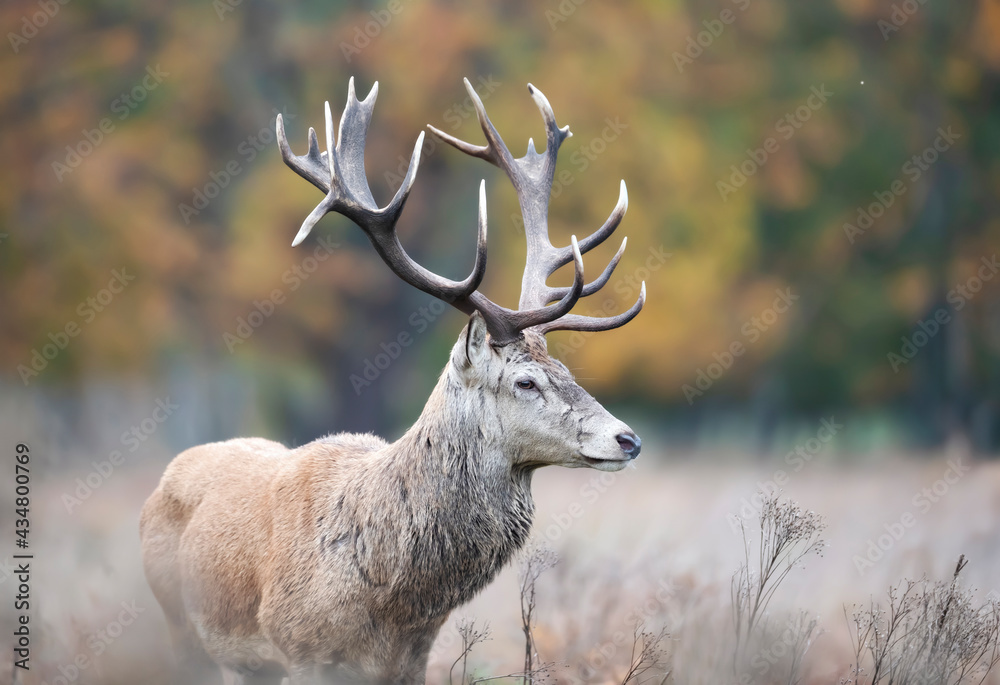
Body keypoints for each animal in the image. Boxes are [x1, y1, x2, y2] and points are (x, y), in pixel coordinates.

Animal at [140, 77, 646, 685]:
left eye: (567, 371)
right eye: (526, 382)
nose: (627, 438)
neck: (391, 603)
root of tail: (161, 483)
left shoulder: (412, 660)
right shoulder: (300, 648)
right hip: (182, 624)